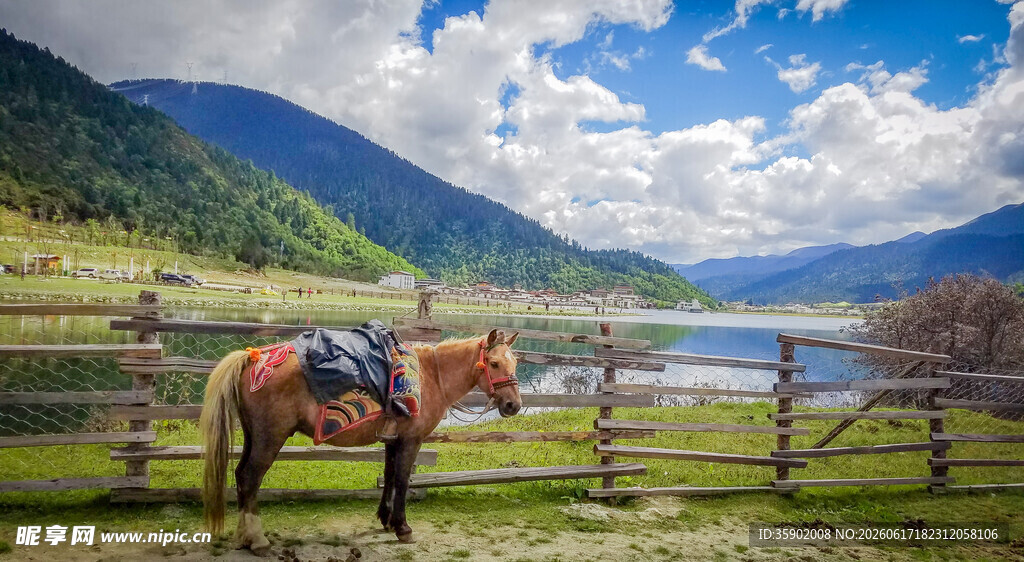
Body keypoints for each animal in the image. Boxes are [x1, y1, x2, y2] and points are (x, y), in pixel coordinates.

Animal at [199, 328, 522, 553]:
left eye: (514, 363)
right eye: (493, 363)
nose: (513, 405)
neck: (431, 376)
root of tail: (254, 358)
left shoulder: (394, 439)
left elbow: (389, 477)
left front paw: (386, 520)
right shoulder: (411, 441)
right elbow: (403, 480)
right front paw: (403, 528)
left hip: (254, 436)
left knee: (241, 476)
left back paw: (244, 537)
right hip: (270, 439)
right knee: (251, 478)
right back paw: (257, 540)